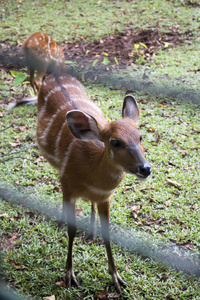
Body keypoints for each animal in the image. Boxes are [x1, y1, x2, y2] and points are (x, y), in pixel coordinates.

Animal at [36, 73, 152, 292]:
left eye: (140, 137)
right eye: (115, 142)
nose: (145, 168)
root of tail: (54, 74)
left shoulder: (105, 198)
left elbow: (108, 234)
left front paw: (117, 279)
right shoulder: (69, 186)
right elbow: (71, 230)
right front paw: (69, 275)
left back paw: (92, 231)